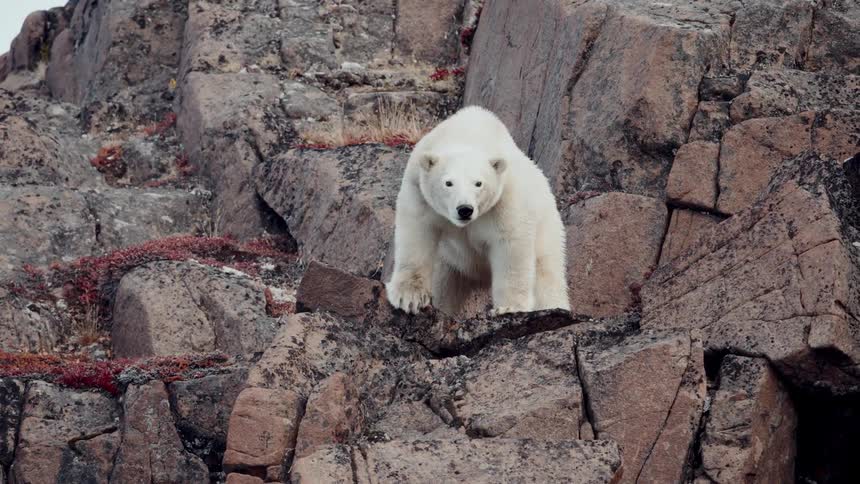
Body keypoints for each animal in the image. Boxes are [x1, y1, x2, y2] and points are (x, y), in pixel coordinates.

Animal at [386, 105, 570, 316]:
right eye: (448, 183)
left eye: (478, 183)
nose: (464, 209)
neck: (469, 134)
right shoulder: (418, 189)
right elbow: (417, 232)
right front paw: (409, 298)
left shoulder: (505, 198)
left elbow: (511, 245)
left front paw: (508, 308)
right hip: (450, 260)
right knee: (445, 283)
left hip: (547, 229)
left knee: (547, 273)